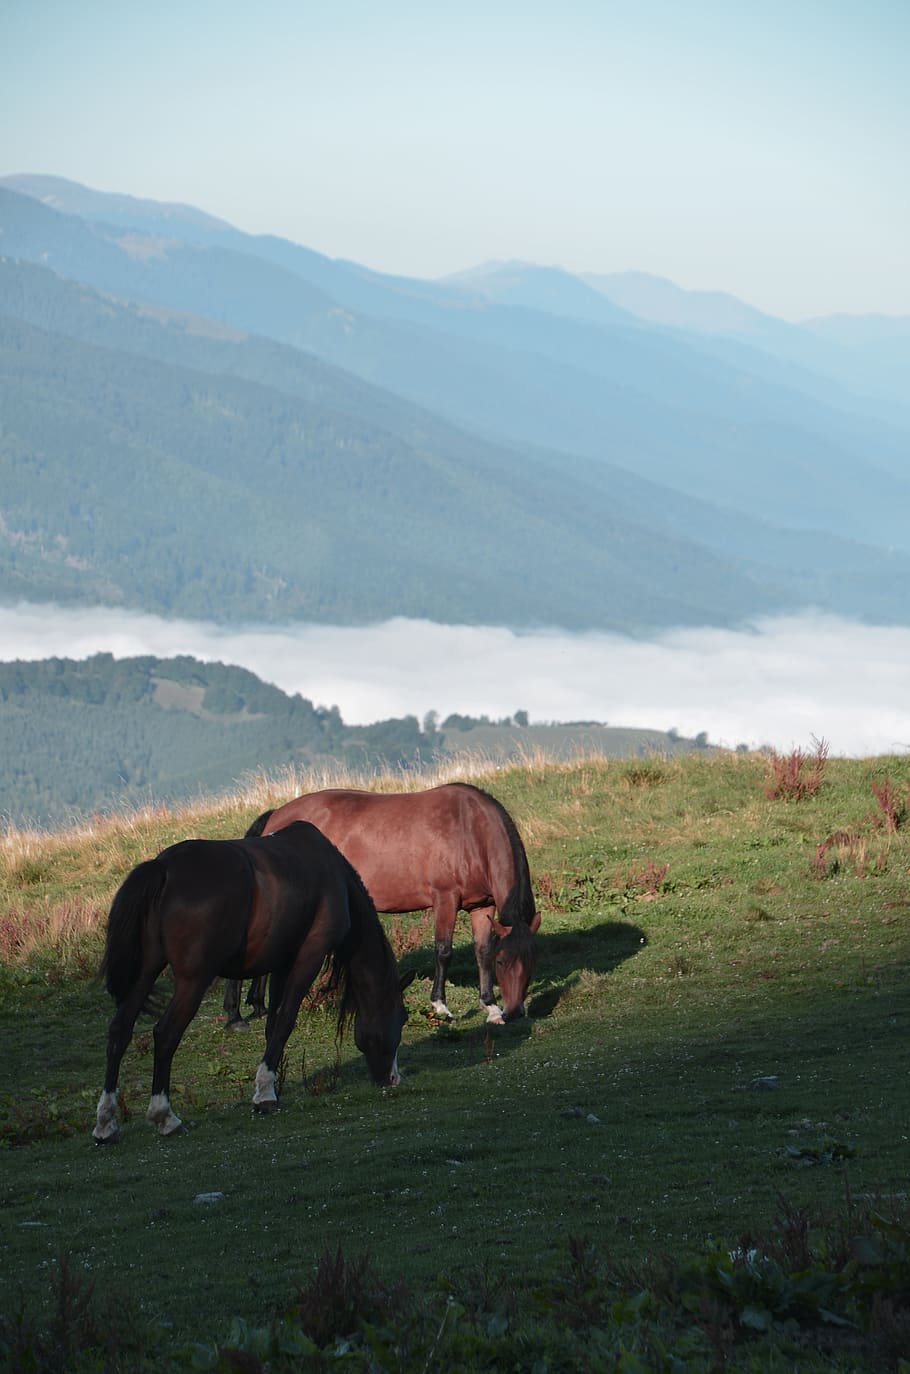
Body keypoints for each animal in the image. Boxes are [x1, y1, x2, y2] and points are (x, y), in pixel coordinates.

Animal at [93, 821, 414, 1143]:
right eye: (402, 1017)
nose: (393, 1078)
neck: (332, 874)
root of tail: (164, 867)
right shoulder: (309, 956)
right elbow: (285, 1021)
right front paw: (265, 1096)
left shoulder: (281, 963)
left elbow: (273, 1024)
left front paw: (268, 1085)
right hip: (192, 981)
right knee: (166, 1034)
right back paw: (165, 1117)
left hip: (145, 973)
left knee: (119, 1031)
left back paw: (106, 1124)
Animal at [225, 782, 540, 1027]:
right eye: (503, 962)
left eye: (531, 961)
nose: (515, 1011)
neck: (470, 829)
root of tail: (276, 817)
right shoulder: (445, 899)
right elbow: (443, 951)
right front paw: (440, 1005)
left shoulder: (481, 906)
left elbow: (481, 951)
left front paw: (490, 1007)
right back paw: (235, 1016)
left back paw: (258, 1005)